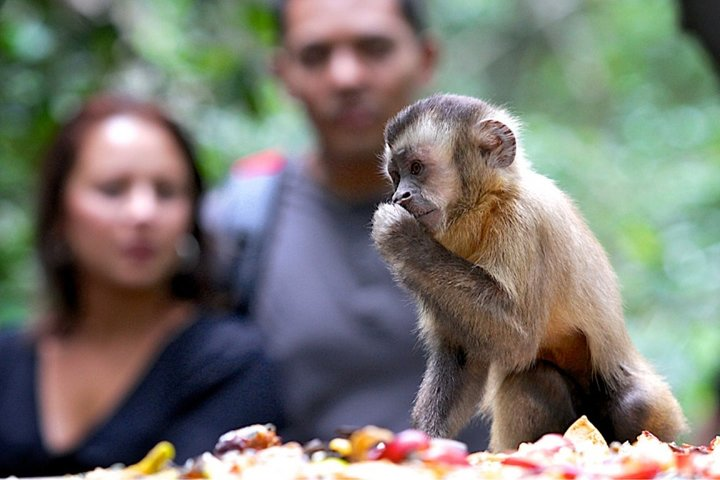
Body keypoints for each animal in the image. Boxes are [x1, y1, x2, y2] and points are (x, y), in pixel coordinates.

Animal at [372, 93, 688, 450]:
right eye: (396, 175)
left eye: (416, 168)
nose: (401, 195)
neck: (485, 204)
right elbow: (462, 354)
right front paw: (424, 442)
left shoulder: (523, 220)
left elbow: (518, 337)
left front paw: (403, 239)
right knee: (534, 381)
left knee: (634, 404)